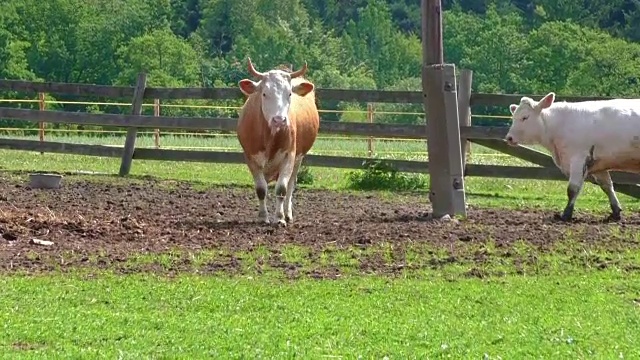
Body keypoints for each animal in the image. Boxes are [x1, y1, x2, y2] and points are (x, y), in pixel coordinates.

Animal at [236, 58, 318, 226]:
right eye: (264, 93)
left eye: (289, 93)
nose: (279, 120)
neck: (270, 137)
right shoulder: (250, 158)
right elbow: (261, 189)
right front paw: (263, 216)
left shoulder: (290, 156)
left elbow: (282, 189)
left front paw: (279, 218)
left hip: (299, 159)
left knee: (291, 184)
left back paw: (287, 213)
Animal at [508, 92, 640, 222]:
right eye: (513, 117)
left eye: (525, 117)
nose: (509, 137)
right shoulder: (598, 163)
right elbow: (607, 186)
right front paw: (616, 212)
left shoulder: (578, 159)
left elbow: (572, 189)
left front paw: (566, 214)